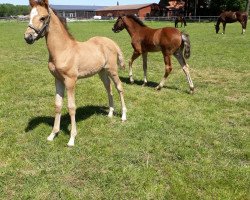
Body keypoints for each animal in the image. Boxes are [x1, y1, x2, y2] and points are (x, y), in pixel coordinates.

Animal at [24, 0, 128, 147]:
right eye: (29, 16)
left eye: (43, 18)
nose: (28, 37)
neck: (63, 50)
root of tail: (111, 41)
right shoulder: (58, 80)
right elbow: (58, 105)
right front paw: (52, 134)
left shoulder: (70, 80)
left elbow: (71, 107)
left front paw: (72, 138)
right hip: (102, 72)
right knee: (109, 89)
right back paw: (110, 113)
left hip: (112, 70)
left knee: (119, 87)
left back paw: (123, 116)